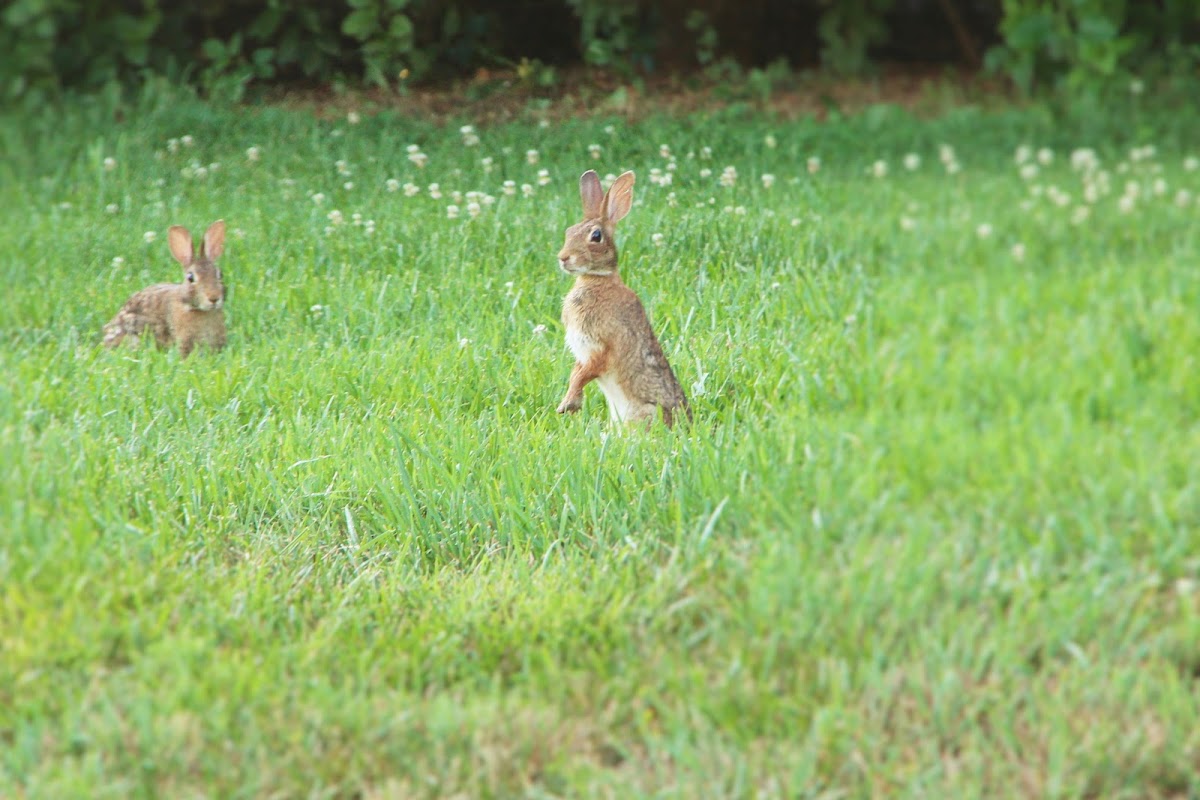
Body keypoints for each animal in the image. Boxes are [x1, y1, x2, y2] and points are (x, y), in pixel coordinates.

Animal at [554, 171, 691, 429]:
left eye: (596, 236)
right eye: (568, 231)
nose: (563, 258)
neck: (597, 279)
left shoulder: (604, 345)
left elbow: (584, 373)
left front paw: (568, 405)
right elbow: (576, 372)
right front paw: (569, 404)